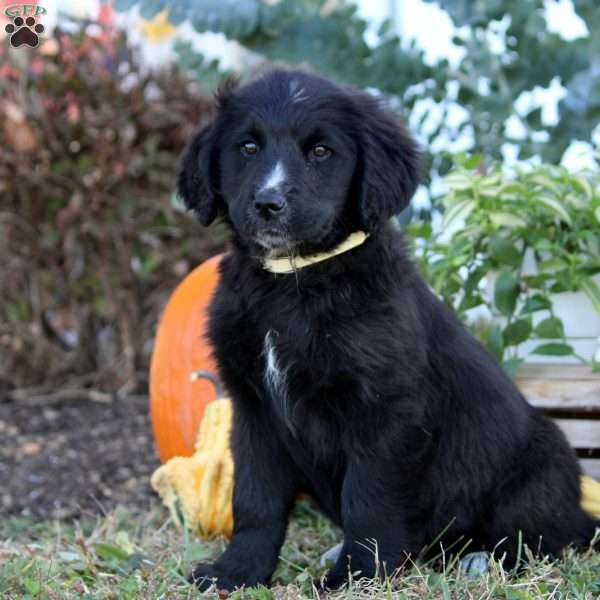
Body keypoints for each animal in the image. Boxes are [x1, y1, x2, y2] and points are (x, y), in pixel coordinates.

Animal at [176, 70, 596, 592]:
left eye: (321, 152)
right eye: (248, 147)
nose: (268, 203)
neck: (294, 283)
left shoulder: (384, 409)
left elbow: (368, 499)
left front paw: (357, 576)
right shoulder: (252, 407)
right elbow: (255, 499)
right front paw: (237, 571)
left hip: (541, 462)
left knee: (546, 538)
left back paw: (481, 559)